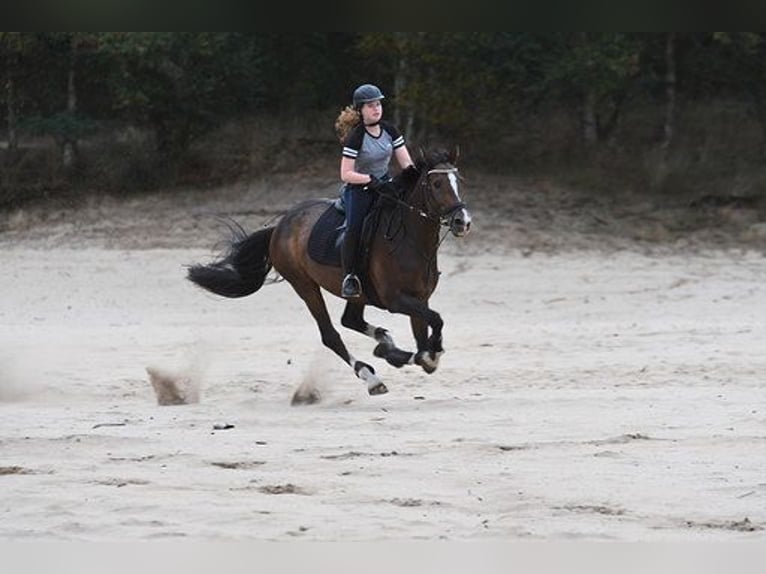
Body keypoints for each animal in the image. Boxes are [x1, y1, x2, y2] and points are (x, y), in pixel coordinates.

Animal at [189, 147, 472, 396]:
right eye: (436, 184)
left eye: (458, 181)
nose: (463, 221)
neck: (410, 240)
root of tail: (280, 226)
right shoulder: (396, 300)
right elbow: (435, 324)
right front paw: (409, 355)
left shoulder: (419, 298)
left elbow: (425, 340)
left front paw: (400, 354)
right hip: (304, 285)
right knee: (331, 334)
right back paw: (371, 377)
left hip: (357, 292)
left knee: (350, 320)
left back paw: (385, 344)